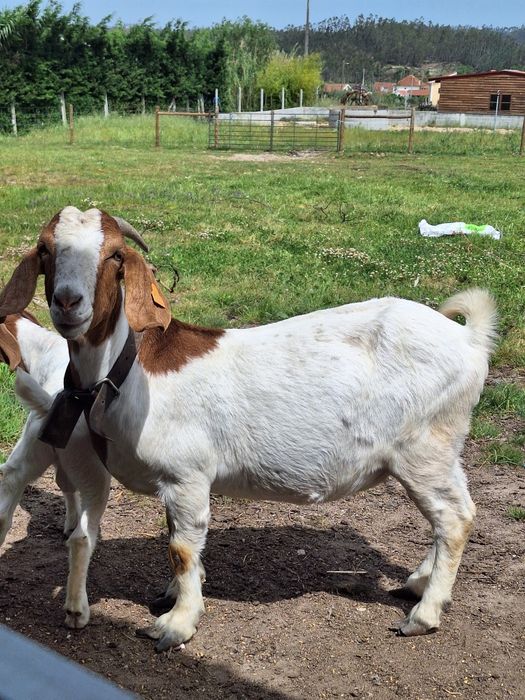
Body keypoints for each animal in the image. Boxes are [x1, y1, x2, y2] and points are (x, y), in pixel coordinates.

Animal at [0, 206, 498, 652]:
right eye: (45, 250)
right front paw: (176, 593)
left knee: (453, 518)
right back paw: (418, 582)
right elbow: (178, 538)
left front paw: (176, 624)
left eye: (116, 255)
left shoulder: (187, 475)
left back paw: (424, 614)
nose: (68, 302)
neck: (129, 370)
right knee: (455, 511)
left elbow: (181, 548)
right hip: (441, 448)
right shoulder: (174, 482)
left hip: (423, 448)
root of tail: (469, 340)